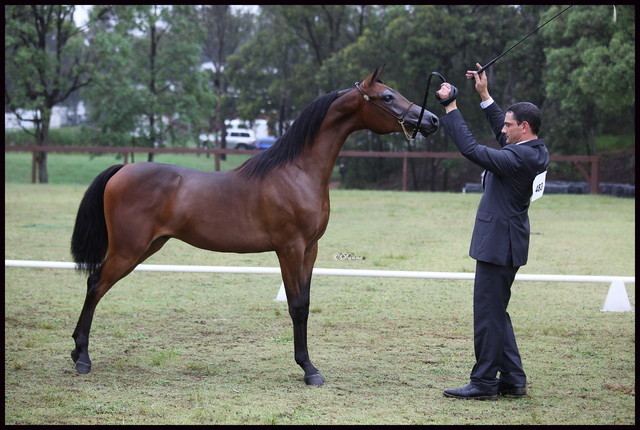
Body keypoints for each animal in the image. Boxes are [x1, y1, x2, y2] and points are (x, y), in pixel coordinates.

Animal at [70, 65, 439, 386]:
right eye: (387, 97)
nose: (432, 120)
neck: (297, 172)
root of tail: (123, 169)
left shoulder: (311, 249)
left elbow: (306, 303)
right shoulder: (289, 248)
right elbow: (296, 306)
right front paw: (308, 370)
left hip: (148, 246)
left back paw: (77, 351)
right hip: (128, 249)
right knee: (95, 284)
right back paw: (82, 356)